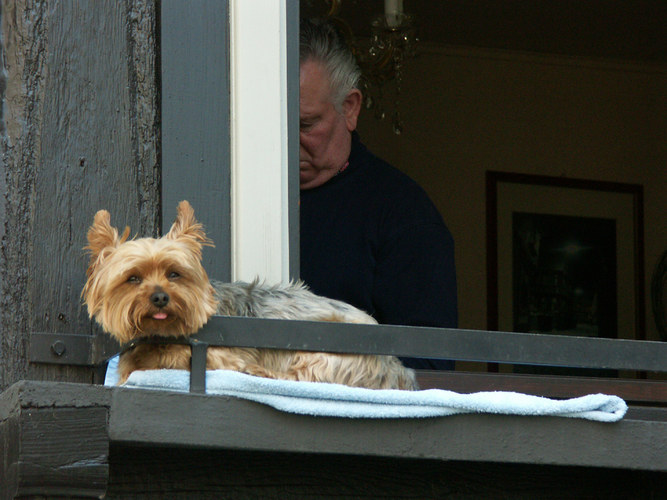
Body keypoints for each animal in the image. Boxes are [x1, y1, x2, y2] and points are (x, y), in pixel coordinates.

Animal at [82, 200, 418, 390]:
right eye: (133, 278)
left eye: (174, 273)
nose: (160, 297)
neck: (162, 336)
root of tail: (398, 368)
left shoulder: (219, 354)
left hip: (328, 348)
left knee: (302, 378)